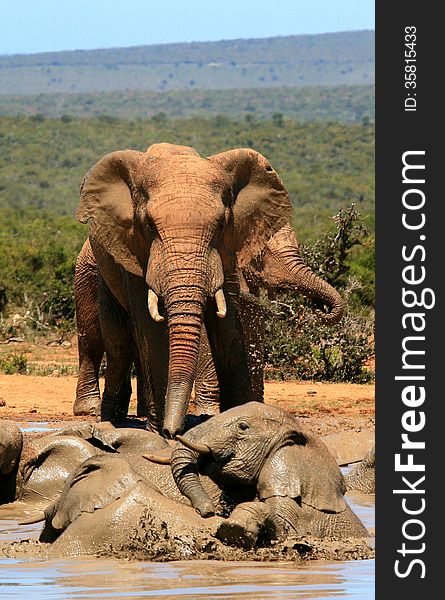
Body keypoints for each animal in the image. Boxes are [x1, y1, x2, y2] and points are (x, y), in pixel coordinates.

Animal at [73, 143, 344, 438]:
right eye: (148, 226)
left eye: (222, 225)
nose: (324, 311)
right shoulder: (134, 252)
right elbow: (152, 327)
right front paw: (162, 430)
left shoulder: (229, 254)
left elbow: (229, 325)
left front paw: (240, 414)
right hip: (91, 271)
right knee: (109, 339)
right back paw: (99, 414)